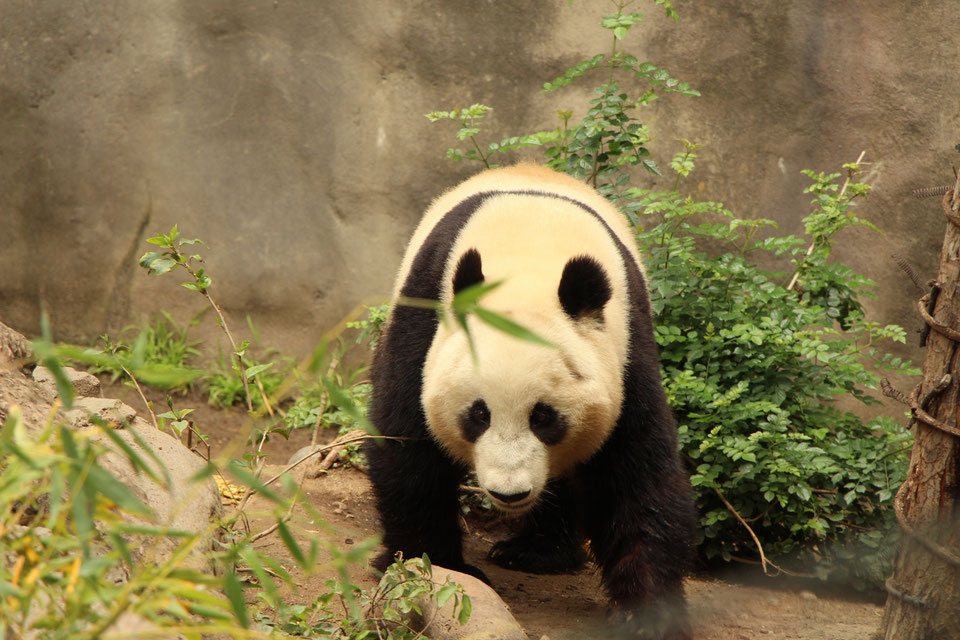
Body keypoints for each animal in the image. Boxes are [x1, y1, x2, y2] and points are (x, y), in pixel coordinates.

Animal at [364, 164, 692, 636]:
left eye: (545, 417)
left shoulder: (625, 346)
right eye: (478, 415)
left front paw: (646, 614)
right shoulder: (427, 318)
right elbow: (407, 440)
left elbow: (636, 469)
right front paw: (434, 564)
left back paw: (538, 552)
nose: (509, 492)